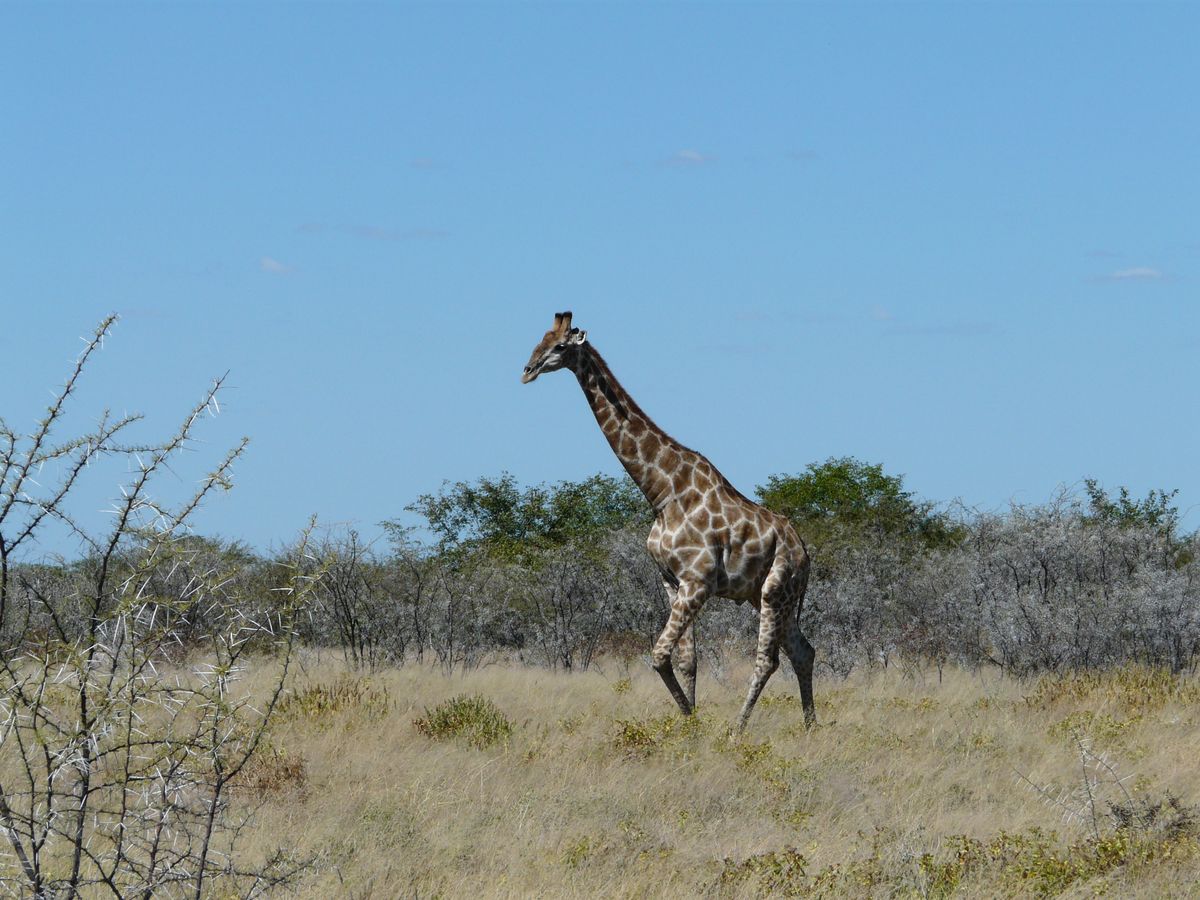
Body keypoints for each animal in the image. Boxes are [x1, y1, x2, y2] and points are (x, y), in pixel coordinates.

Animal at [521, 311, 816, 730]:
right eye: (539, 340)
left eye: (560, 346)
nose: (527, 371)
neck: (662, 493)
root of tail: (804, 551)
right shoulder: (672, 582)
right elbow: (687, 659)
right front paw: (690, 727)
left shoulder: (697, 582)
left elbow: (659, 655)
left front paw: (695, 723)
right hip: (769, 596)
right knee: (803, 651)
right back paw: (810, 727)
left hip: (776, 589)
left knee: (768, 660)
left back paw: (737, 730)